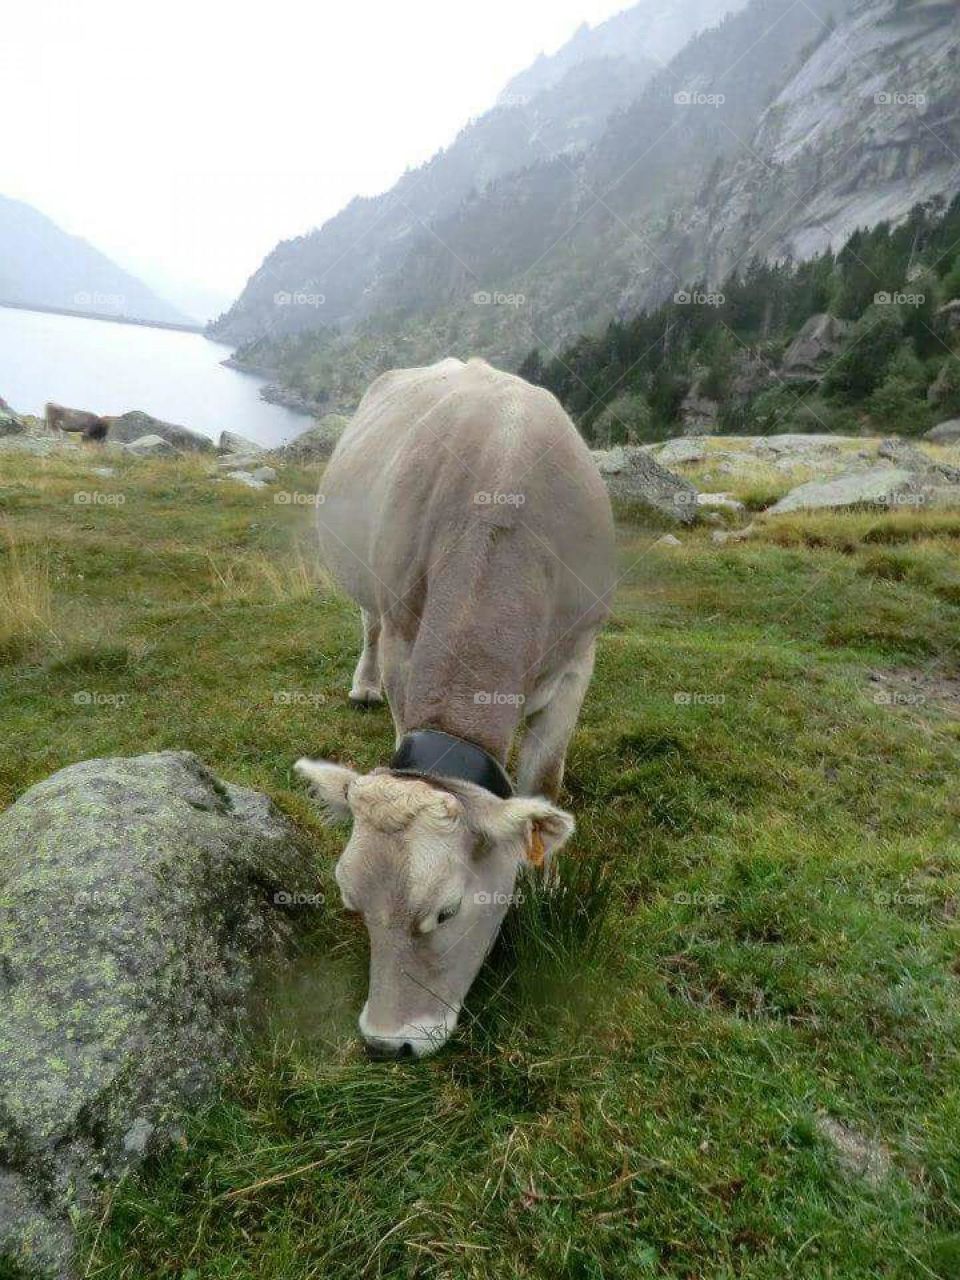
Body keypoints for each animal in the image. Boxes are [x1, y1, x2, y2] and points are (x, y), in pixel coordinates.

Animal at [295, 358, 615, 1058]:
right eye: (352, 902)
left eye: (447, 911)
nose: (386, 1043)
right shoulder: (403, 639)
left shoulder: (579, 657)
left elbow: (546, 779)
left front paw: (545, 886)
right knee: (365, 622)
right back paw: (361, 684)